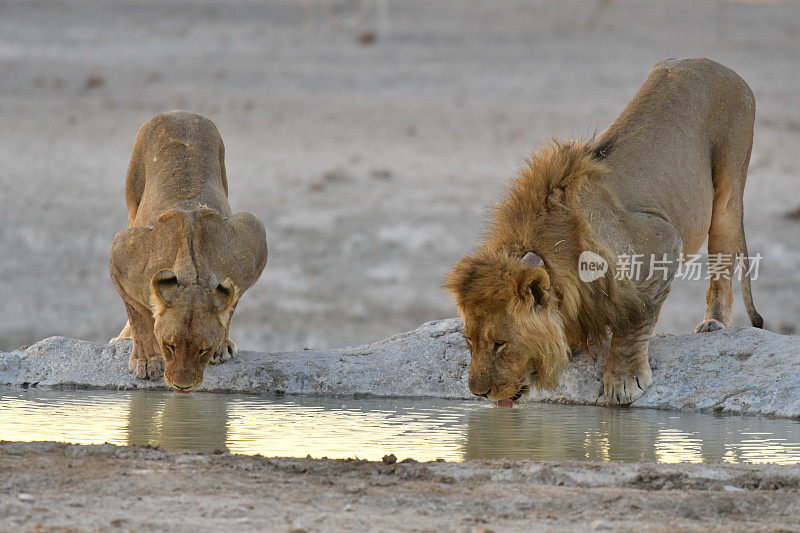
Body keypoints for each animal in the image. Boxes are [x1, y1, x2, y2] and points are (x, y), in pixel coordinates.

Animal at [109, 110, 268, 390]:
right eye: (168, 346)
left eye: (204, 350)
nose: (182, 387)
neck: (193, 274)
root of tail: (179, 112)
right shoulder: (121, 253)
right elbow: (138, 315)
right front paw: (146, 360)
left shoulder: (250, 241)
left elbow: (231, 303)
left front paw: (223, 344)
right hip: (133, 196)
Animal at [444, 58, 764, 406]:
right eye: (468, 342)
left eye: (500, 344)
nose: (478, 392)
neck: (561, 245)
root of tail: (715, 64)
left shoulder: (661, 241)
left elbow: (634, 322)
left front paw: (623, 380)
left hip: (729, 185)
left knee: (722, 259)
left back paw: (714, 322)